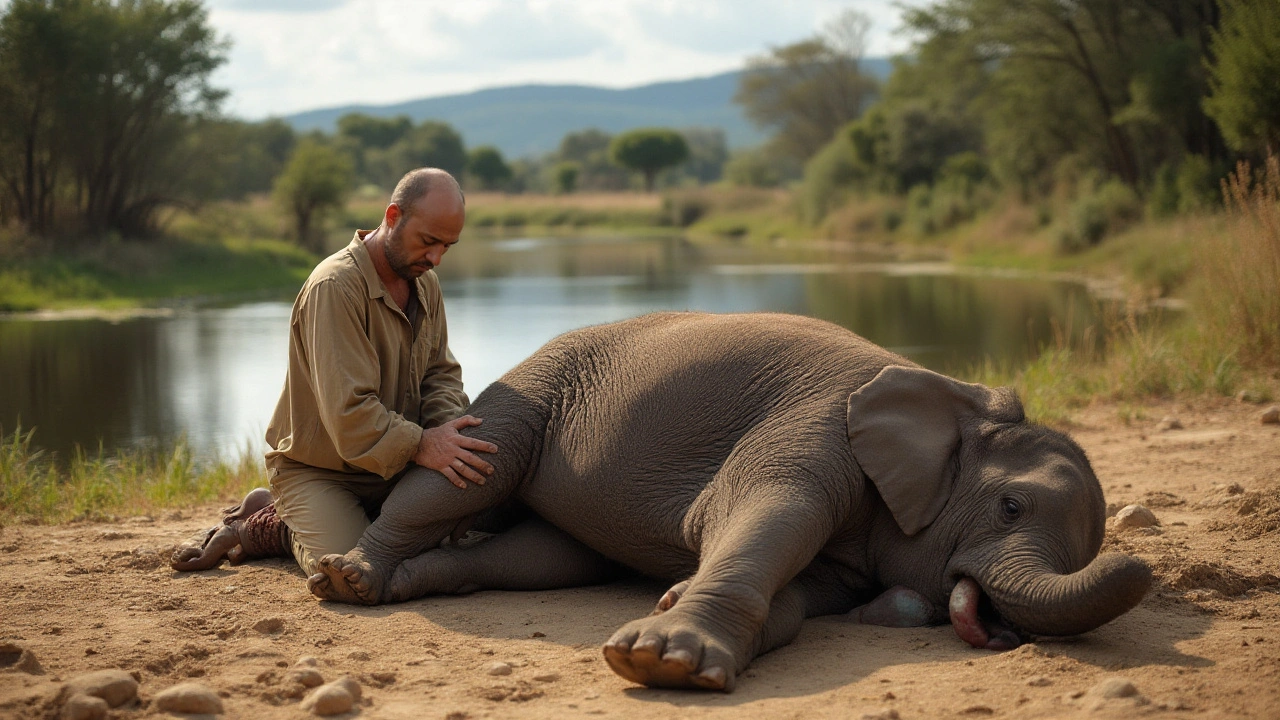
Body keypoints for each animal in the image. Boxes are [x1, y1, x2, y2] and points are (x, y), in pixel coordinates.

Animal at [307, 310, 1152, 691]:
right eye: (1011, 509)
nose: (1006, 633)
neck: (954, 395)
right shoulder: (815, 424)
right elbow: (766, 512)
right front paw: (660, 662)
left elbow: (810, 589)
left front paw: (670, 609)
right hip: (533, 390)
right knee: (468, 476)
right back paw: (348, 581)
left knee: (541, 561)